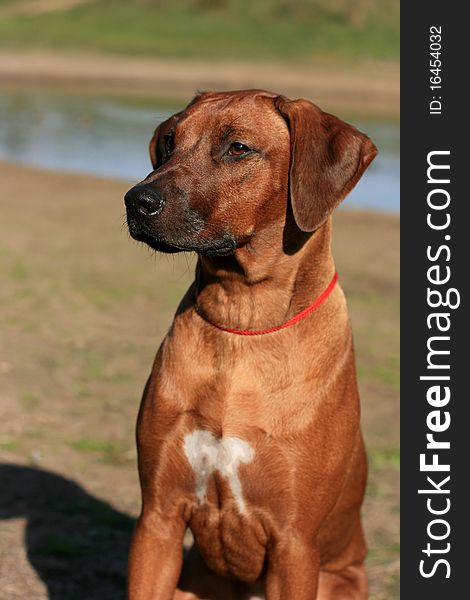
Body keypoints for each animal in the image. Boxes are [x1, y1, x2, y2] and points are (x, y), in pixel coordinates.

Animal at [123, 90, 376, 600]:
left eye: (238, 148)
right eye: (169, 140)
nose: (136, 201)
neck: (242, 322)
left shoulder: (295, 543)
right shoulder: (158, 517)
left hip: (337, 580)